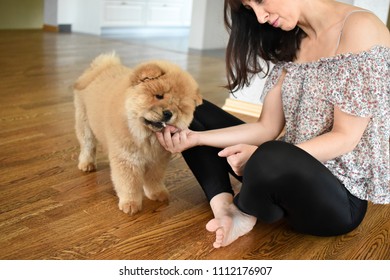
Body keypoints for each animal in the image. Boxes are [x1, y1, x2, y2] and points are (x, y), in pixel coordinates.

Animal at [73, 52, 203, 214]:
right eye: (159, 96)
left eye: (179, 107)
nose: (168, 113)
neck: (146, 136)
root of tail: (100, 66)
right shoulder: (127, 159)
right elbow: (129, 183)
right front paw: (130, 204)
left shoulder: (157, 160)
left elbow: (154, 179)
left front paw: (156, 194)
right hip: (84, 122)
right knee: (88, 145)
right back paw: (87, 164)